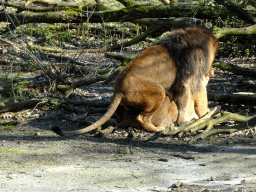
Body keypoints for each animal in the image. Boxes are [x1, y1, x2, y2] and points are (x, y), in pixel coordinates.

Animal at [52, 25, 218, 136]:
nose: (212, 71)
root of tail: (118, 89)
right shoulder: (192, 79)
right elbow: (197, 101)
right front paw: (203, 115)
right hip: (159, 91)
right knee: (142, 117)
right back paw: (157, 129)